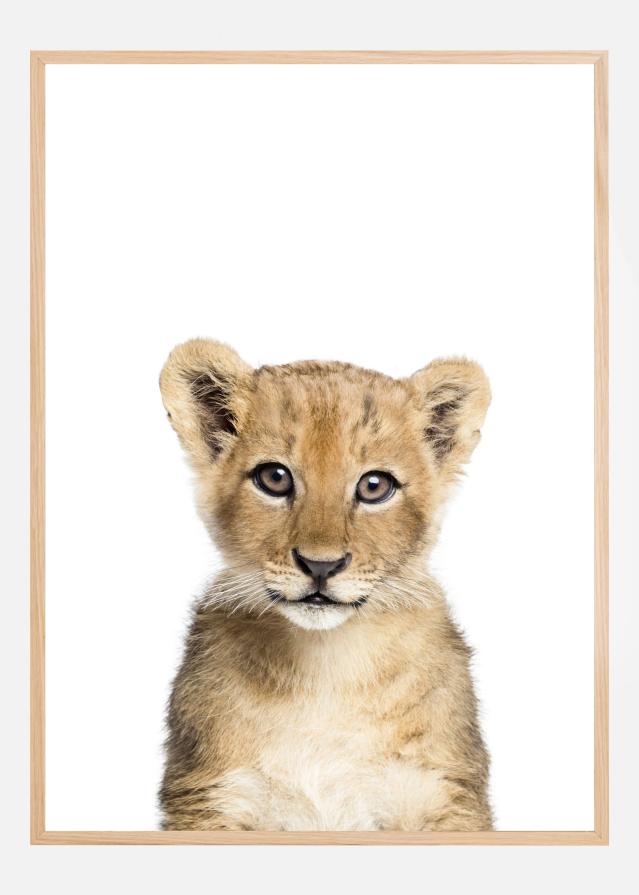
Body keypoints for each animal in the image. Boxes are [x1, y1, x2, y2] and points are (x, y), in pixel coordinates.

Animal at [158, 339, 493, 831]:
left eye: (374, 486)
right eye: (274, 478)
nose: (321, 565)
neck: (326, 668)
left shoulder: (444, 794)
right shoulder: (211, 796)